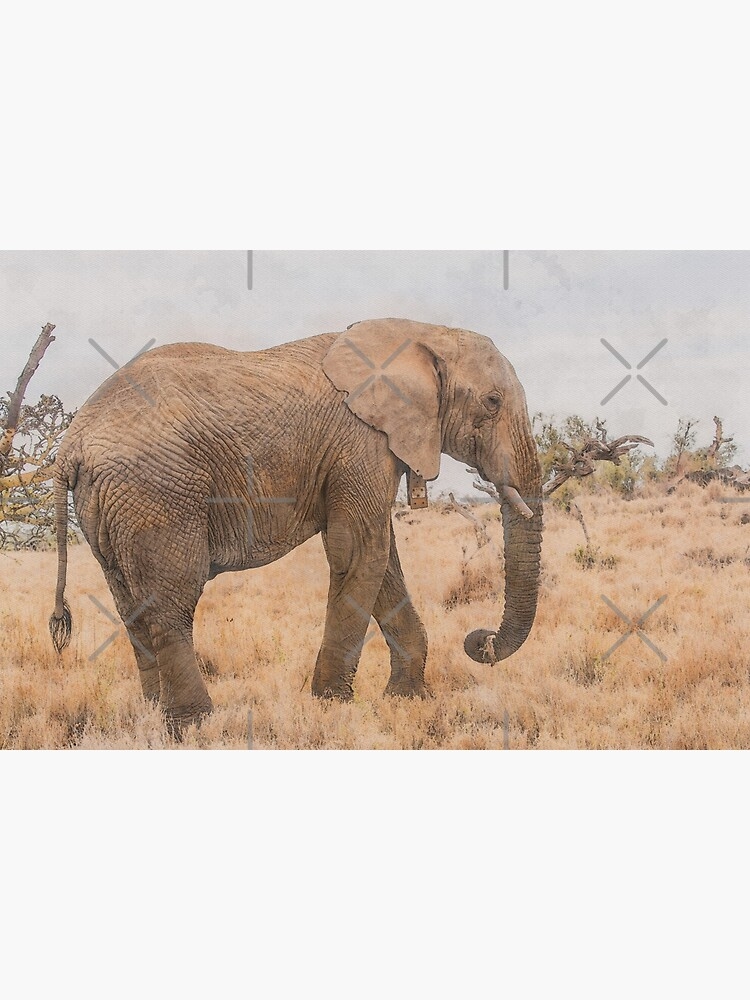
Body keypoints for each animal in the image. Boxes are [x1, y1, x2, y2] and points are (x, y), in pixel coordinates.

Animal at [49, 318, 543, 731]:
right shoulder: (360, 442)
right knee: (171, 603)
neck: (420, 331)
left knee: (130, 603)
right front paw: (332, 704)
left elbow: (380, 559)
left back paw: (154, 714)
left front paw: (407, 699)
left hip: (108, 505)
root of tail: (71, 446)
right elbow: (361, 552)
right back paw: (196, 725)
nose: (481, 640)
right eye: (492, 403)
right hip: (158, 491)